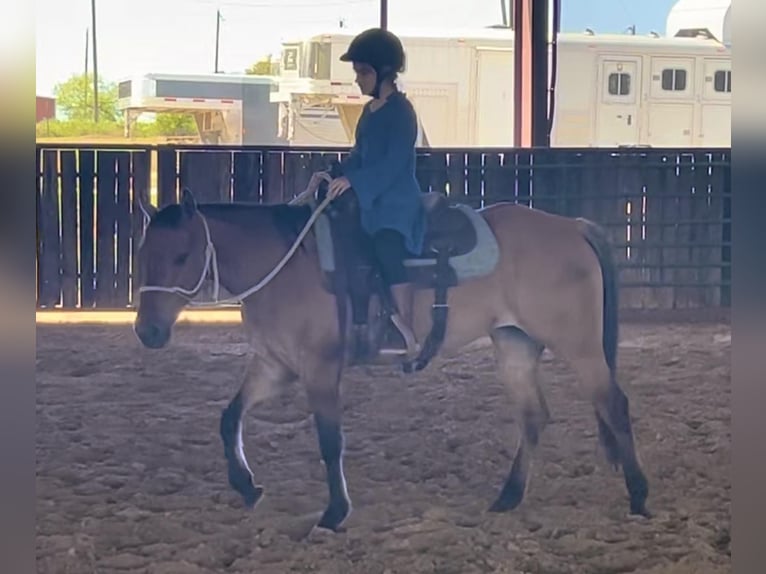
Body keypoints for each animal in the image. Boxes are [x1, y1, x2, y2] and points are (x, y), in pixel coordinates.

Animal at [135, 177, 652, 536]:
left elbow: (330, 442)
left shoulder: (319, 369)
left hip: (579, 346)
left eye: (181, 256)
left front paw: (334, 512)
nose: (148, 331)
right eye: (144, 255)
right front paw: (246, 485)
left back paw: (640, 496)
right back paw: (508, 497)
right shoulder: (275, 367)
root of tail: (573, 227)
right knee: (533, 417)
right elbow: (229, 418)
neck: (285, 265)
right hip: (515, 344)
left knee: (614, 404)